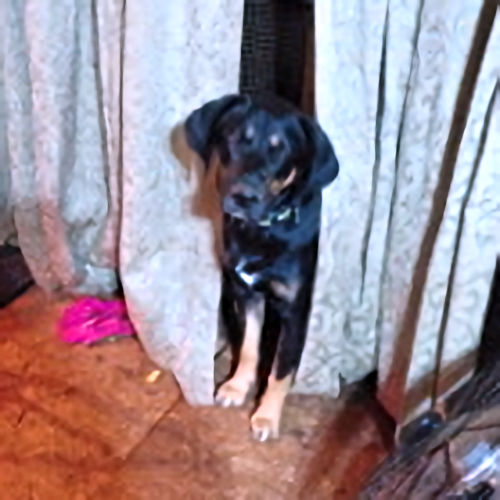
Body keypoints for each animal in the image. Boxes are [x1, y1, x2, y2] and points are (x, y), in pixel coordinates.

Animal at [185, 94, 339, 441]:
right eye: (233, 138)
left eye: (281, 150)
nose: (244, 197)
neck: (262, 232)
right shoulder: (245, 292)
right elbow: (249, 348)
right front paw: (236, 387)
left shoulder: (295, 310)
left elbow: (281, 371)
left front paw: (267, 416)